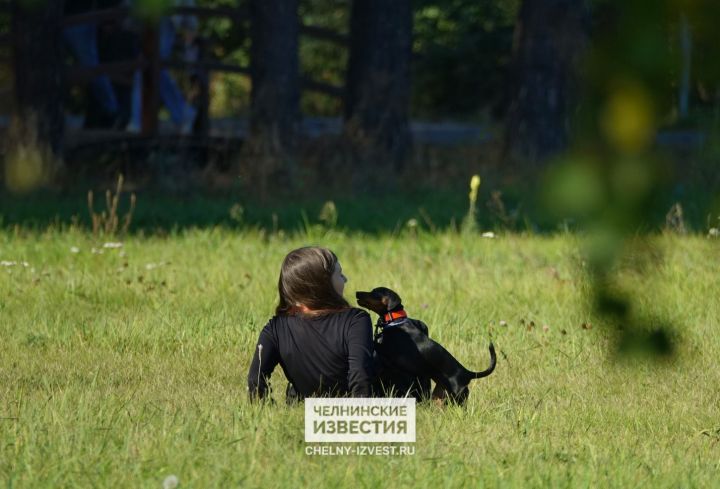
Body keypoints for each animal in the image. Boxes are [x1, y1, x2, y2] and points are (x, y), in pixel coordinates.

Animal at [356, 286, 496, 404]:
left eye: (375, 292)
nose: (357, 292)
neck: (395, 321)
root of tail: (467, 373)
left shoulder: (385, 349)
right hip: (439, 396)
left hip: (458, 398)